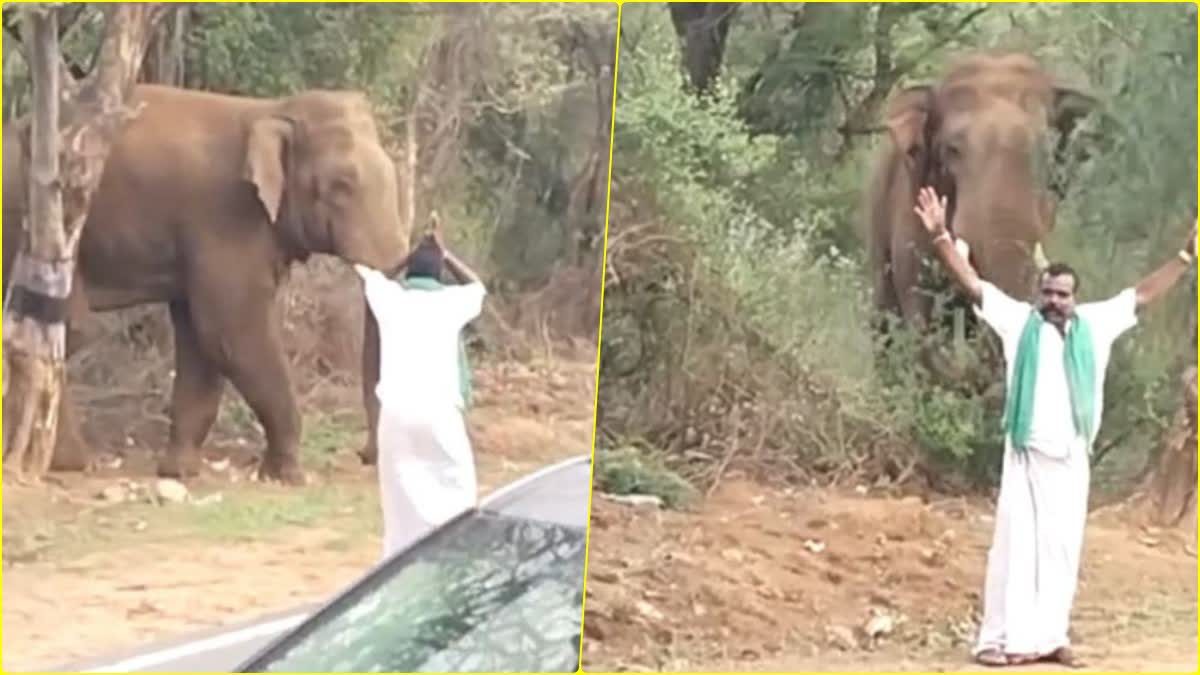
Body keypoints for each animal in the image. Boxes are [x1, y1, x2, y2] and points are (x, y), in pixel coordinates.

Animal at [2, 85, 408, 482]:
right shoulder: (226, 216)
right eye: (341, 186)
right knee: (70, 329)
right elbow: (232, 333)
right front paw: (288, 475)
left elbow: (202, 338)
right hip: (24, 221)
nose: (365, 455)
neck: (271, 109)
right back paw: (68, 463)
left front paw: (180, 471)